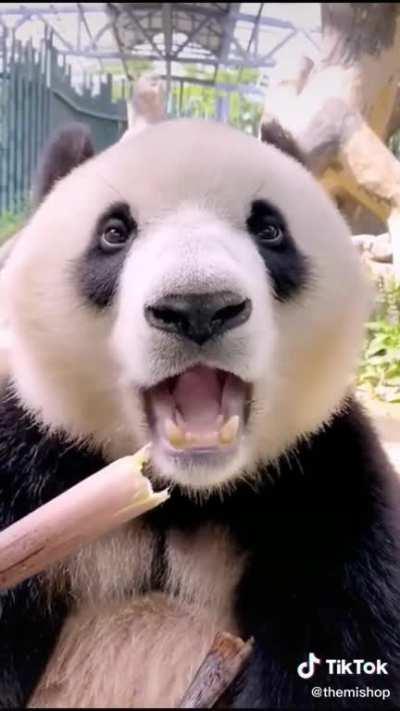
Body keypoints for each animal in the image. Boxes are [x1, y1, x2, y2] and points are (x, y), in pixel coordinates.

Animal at [0, 118, 399, 710]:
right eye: (114, 232)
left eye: (269, 229)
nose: (198, 308)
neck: (181, 495)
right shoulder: (28, 468)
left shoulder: (327, 491)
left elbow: (348, 637)